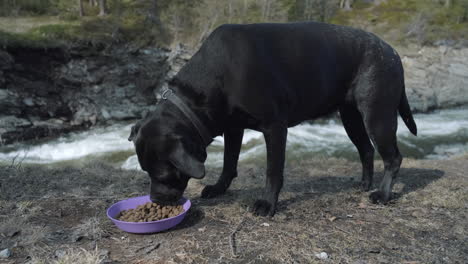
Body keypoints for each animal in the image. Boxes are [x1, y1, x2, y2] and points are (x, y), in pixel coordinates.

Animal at [128, 22, 416, 217]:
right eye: (145, 171)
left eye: (164, 175)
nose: (155, 199)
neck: (218, 75)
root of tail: (393, 52)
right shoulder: (234, 128)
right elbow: (229, 162)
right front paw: (220, 187)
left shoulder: (274, 127)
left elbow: (273, 170)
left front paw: (267, 203)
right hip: (351, 117)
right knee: (366, 150)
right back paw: (364, 184)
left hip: (377, 115)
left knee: (393, 157)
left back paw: (383, 194)